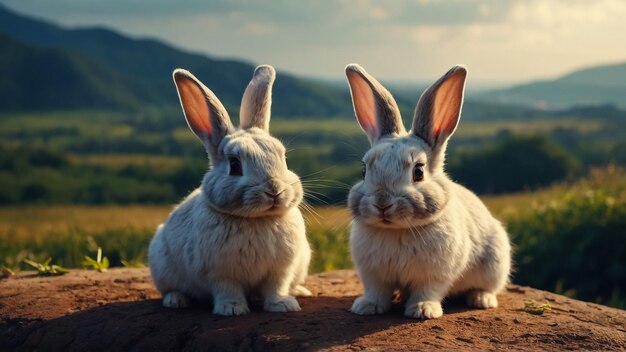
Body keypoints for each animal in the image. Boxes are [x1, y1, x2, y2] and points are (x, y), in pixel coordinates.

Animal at [147, 64, 312, 314]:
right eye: (234, 165)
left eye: (283, 158)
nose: (274, 190)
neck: (258, 220)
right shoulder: (220, 273)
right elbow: (228, 289)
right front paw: (232, 309)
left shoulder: (280, 270)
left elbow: (276, 287)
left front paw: (283, 305)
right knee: (170, 289)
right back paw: (176, 300)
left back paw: (301, 291)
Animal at [344, 63, 510, 320]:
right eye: (364, 170)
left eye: (419, 171)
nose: (382, 203)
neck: (396, 231)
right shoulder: (373, 275)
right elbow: (376, 291)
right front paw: (366, 307)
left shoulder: (436, 274)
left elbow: (427, 290)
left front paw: (422, 310)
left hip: (496, 263)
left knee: (489, 287)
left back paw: (481, 300)